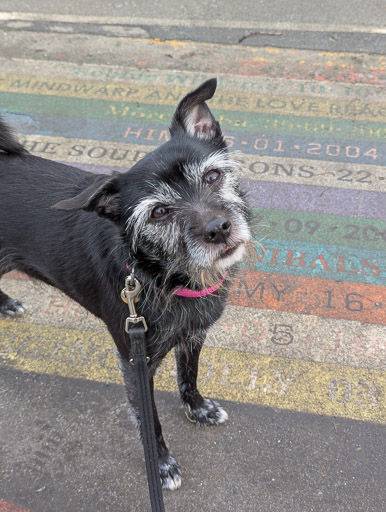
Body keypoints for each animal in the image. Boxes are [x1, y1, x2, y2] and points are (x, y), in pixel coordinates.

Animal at [0, 79, 250, 488]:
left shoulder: (193, 336)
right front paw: (161, 465)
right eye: (159, 212)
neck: (160, 275)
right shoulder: (135, 363)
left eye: (212, 176)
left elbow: (189, 376)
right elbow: (149, 421)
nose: (218, 229)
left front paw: (198, 409)